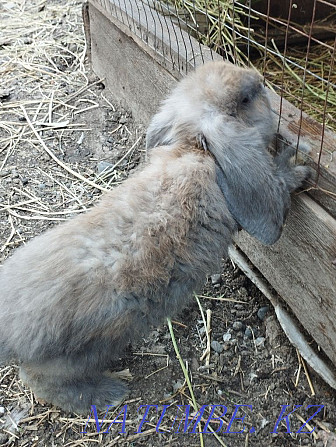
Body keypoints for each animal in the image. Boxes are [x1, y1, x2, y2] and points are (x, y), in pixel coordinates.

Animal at [0, 61, 310, 414]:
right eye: (245, 98)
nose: (258, 78)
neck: (196, 152)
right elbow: (281, 184)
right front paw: (298, 163)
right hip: (78, 355)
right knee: (40, 382)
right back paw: (107, 394)